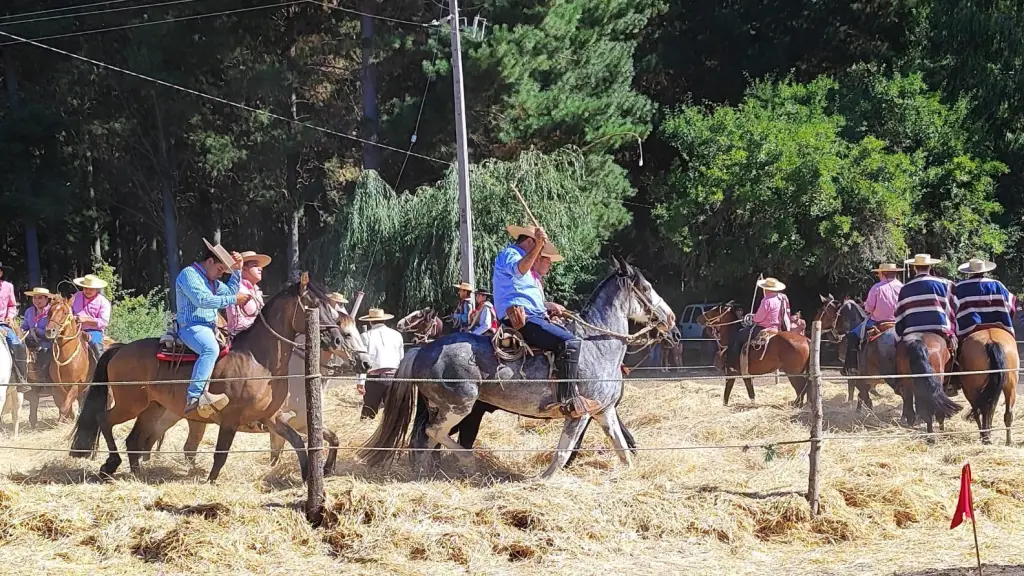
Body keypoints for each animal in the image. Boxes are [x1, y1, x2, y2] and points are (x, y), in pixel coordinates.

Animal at [67, 272, 368, 479]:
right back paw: (111, 464)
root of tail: (120, 348)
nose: (362, 360)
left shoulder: (272, 418)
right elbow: (221, 454)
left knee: (135, 440)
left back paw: (136, 472)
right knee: (104, 420)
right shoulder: (232, 419)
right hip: (131, 404)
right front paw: (210, 481)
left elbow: (302, 443)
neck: (260, 361)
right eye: (314, 305)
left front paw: (311, 475)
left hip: (153, 408)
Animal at [356, 258, 675, 477]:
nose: (670, 319)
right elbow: (563, 452)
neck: (597, 346)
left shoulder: (604, 412)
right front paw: (542, 479)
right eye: (646, 287)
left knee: (423, 440)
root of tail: (423, 349)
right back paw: (469, 462)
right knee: (433, 434)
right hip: (458, 407)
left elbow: (622, 448)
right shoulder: (581, 414)